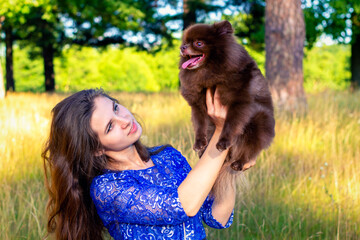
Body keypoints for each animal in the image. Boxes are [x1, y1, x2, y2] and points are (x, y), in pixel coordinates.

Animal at [179, 20, 274, 197]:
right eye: (185, 42)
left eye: (198, 43)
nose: (182, 47)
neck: (208, 72)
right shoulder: (197, 104)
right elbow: (200, 125)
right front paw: (199, 143)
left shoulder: (239, 103)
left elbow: (231, 124)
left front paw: (223, 141)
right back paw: (203, 152)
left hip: (259, 122)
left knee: (251, 148)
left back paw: (239, 162)